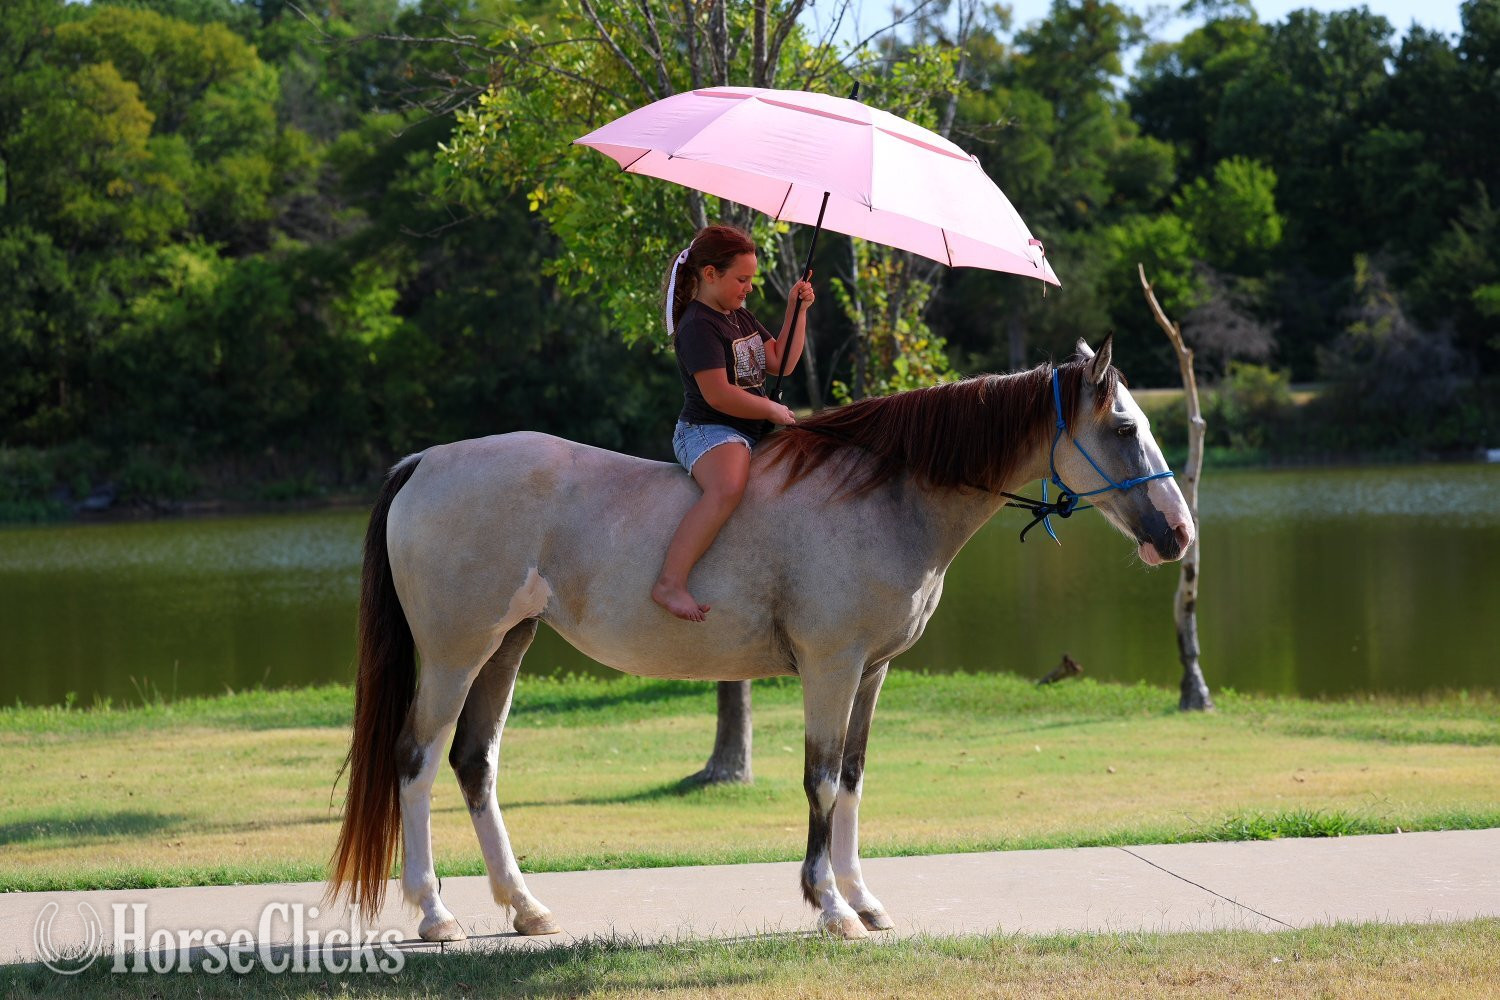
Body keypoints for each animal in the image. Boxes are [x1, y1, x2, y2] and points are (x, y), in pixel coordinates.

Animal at [326, 335, 1194, 941]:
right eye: (1124, 427)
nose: (1179, 535)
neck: (883, 495)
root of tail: (427, 461)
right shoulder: (830, 667)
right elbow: (820, 780)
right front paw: (828, 905)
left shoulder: (871, 673)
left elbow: (854, 778)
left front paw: (863, 898)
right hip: (455, 654)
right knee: (417, 760)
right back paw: (434, 912)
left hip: (507, 646)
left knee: (475, 763)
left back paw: (526, 907)